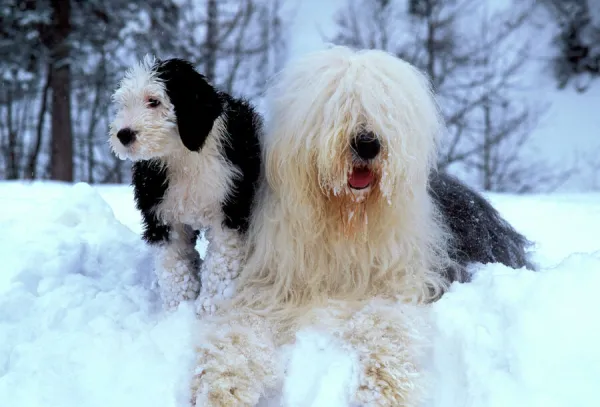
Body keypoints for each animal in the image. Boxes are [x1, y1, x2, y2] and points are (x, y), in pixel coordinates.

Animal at [108, 55, 262, 316]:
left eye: (154, 101)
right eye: (124, 104)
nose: (124, 134)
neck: (186, 159)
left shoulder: (230, 211)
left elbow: (221, 262)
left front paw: (208, 307)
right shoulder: (162, 216)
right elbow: (174, 267)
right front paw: (178, 309)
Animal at [190, 46, 452, 406]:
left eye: (383, 109)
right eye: (337, 105)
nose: (368, 143)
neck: (344, 219)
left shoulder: (394, 285)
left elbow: (384, 324)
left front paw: (384, 389)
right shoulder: (268, 288)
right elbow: (239, 330)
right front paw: (221, 387)